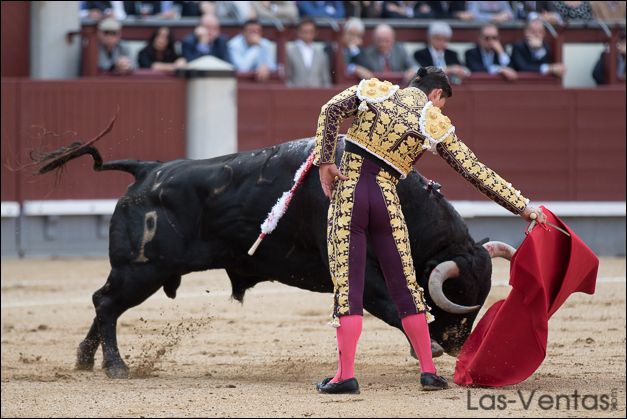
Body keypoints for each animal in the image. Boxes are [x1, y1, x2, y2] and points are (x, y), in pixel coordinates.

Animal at [35, 136, 500, 378]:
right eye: (460, 295)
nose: (458, 347)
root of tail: (147, 169)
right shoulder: (361, 273)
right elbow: (390, 304)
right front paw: (429, 350)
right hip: (141, 269)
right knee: (106, 303)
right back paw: (115, 366)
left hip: (135, 272)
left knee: (104, 304)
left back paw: (85, 360)